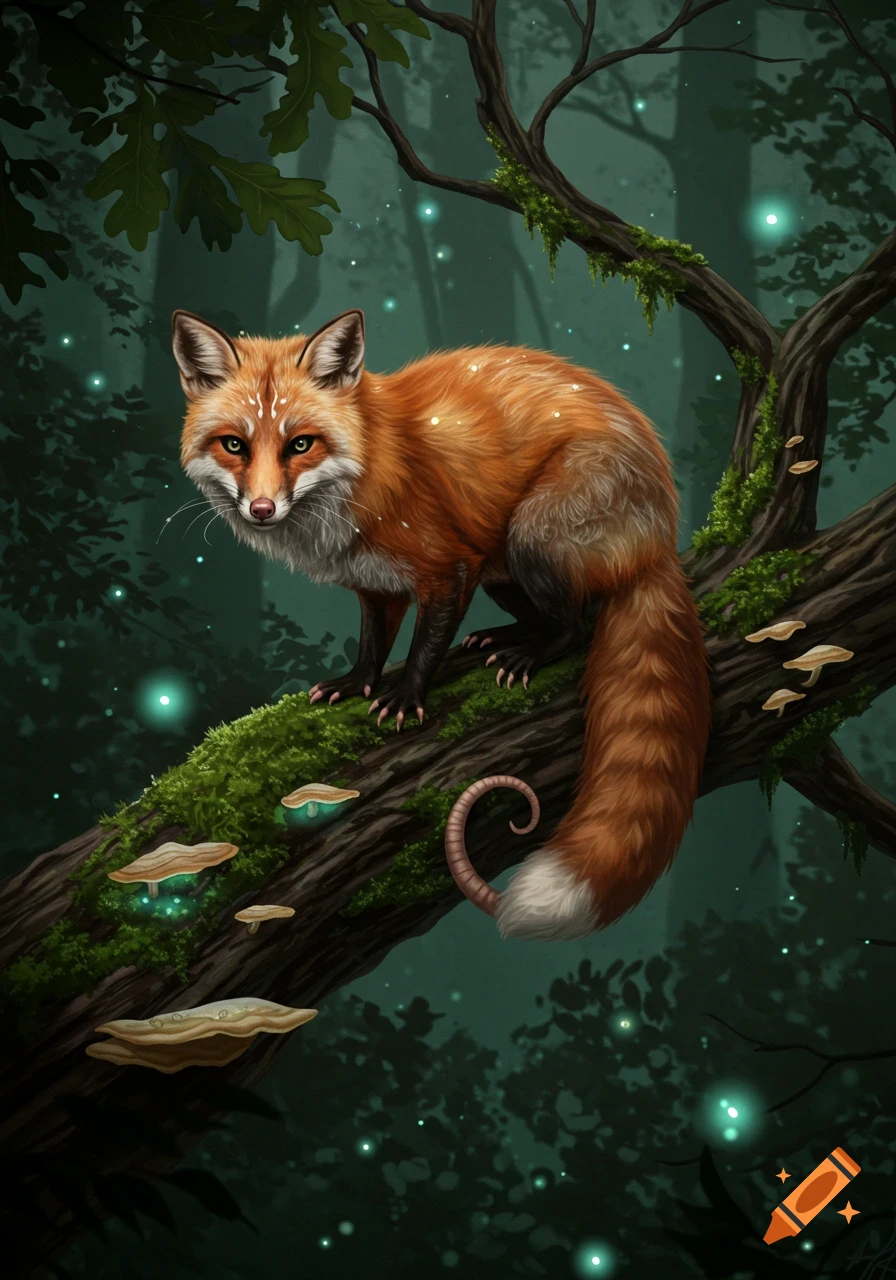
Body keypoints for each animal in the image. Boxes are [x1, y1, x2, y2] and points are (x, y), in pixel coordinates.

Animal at [172, 307, 711, 942]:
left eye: (300, 444)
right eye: (234, 444)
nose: (261, 510)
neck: (370, 469)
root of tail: (659, 536)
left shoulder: (447, 569)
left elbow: (424, 646)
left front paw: (406, 699)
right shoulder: (376, 585)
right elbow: (373, 646)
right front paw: (355, 684)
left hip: (530, 536)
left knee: (576, 625)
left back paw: (530, 653)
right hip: (503, 571)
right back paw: (504, 637)